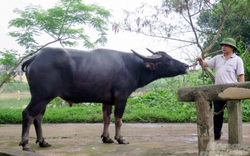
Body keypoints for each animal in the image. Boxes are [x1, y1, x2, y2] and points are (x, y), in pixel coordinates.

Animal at [19, 47, 188, 152]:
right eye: (167, 60)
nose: (186, 66)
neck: (133, 67)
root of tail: (35, 57)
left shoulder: (107, 101)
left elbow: (106, 119)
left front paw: (106, 138)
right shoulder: (121, 98)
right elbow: (118, 120)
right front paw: (120, 139)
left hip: (44, 98)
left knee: (38, 118)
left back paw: (43, 142)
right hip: (41, 96)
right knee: (28, 114)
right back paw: (25, 145)